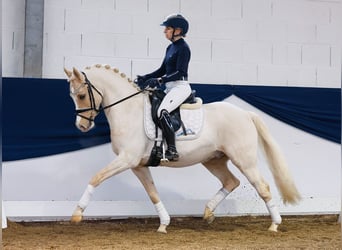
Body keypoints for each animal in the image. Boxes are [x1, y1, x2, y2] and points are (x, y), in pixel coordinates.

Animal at [63, 64, 300, 232]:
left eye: (82, 95)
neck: (129, 110)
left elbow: (96, 177)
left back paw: (274, 224)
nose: (82, 126)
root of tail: (245, 113)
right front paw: (164, 224)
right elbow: (152, 193)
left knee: (262, 186)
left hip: (244, 159)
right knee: (231, 181)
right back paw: (208, 213)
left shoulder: (127, 159)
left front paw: (77, 213)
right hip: (213, 159)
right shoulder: (138, 165)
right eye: (72, 96)